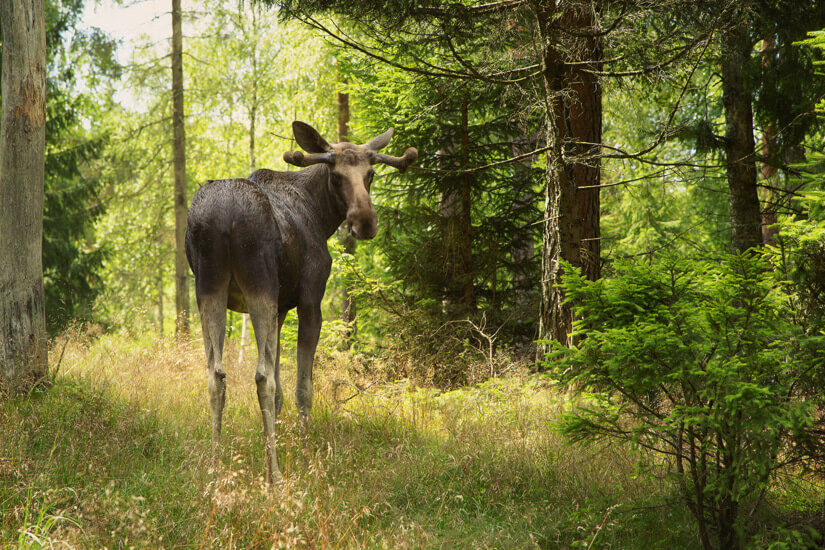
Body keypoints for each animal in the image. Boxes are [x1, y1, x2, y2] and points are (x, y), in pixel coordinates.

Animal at [187, 121, 418, 484]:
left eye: (370, 174)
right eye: (336, 175)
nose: (365, 221)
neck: (321, 215)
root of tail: (224, 218)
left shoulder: (282, 309)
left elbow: (282, 390)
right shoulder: (310, 300)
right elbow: (302, 389)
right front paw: (307, 459)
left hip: (208, 288)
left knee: (216, 375)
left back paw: (215, 466)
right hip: (260, 285)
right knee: (261, 377)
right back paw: (275, 475)